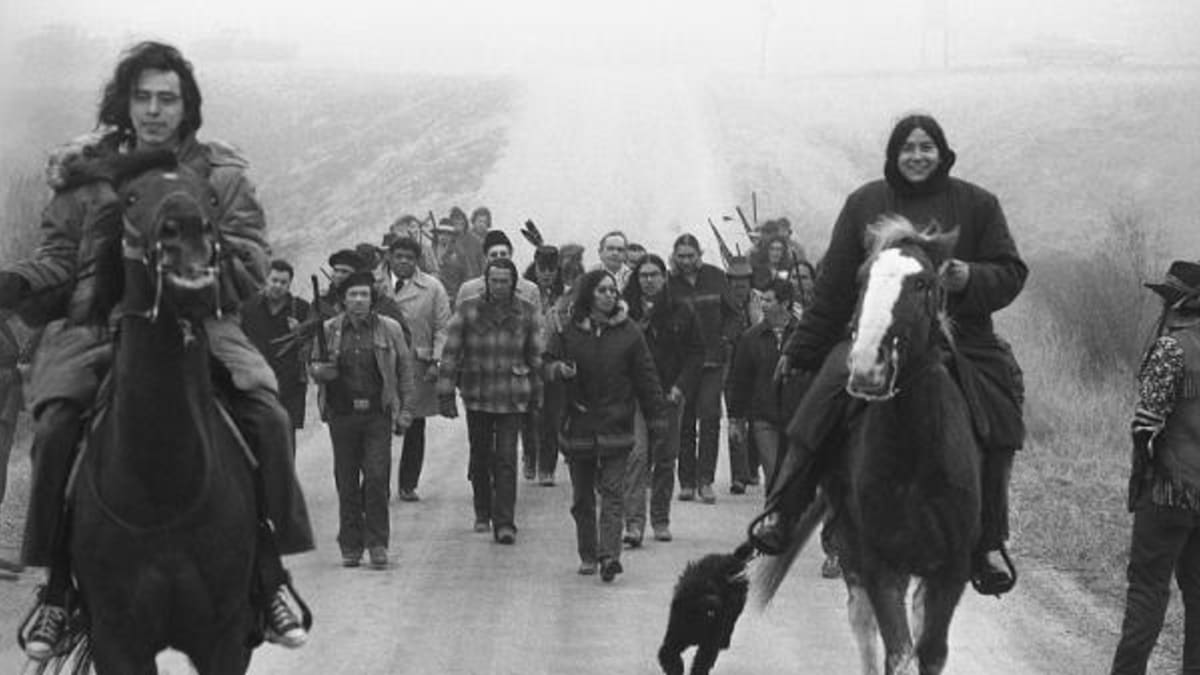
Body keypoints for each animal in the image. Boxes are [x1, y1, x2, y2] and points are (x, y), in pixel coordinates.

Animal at [65, 158, 260, 672]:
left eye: (211, 196)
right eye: (131, 198)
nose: (185, 227)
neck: (163, 489)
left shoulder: (225, 636)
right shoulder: (117, 640)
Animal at [662, 540, 753, 672]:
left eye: (712, 589)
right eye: (697, 596)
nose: (715, 602)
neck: (698, 621)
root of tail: (733, 558)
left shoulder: (709, 642)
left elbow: (702, 660)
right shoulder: (675, 636)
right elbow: (669, 654)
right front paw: (676, 669)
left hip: (736, 607)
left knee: (730, 624)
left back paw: (725, 642)